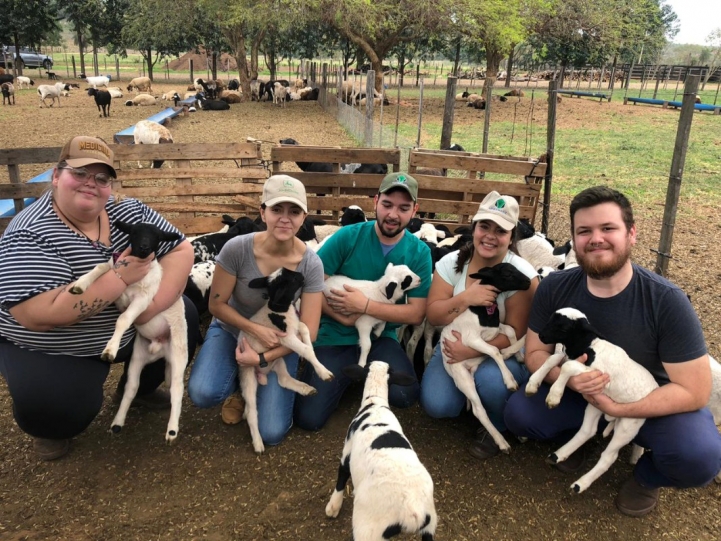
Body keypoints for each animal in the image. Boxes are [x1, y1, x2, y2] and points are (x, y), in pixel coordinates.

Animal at [68, 221, 188, 440]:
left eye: (157, 236)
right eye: (134, 232)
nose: (144, 248)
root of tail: (159, 349)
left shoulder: (143, 300)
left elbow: (123, 320)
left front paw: (109, 351)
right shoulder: (117, 291)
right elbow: (103, 266)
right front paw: (80, 285)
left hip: (178, 354)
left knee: (177, 389)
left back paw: (172, 430)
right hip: (138, 357)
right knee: (131, 388)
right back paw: (117, 422)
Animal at [239, 266, 334, 452]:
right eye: (293, 279)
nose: (302, 275)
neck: (279, 311)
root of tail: (263, 374)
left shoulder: (295, 328)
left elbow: (305, 329)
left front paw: (311, 351)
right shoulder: (285, 338)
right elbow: (305, 349)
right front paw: (324, 372)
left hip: (278, 362)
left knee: (283, 380)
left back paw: (307, 389)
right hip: (247, 374)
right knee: (252, 411)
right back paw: (258, 443)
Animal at [324, 358, 436, 540]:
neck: (375, 401)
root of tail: (412, 512)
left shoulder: (347, 450)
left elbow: (341, 476)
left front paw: (333, 506)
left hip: (368, 530)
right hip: (430, 527)